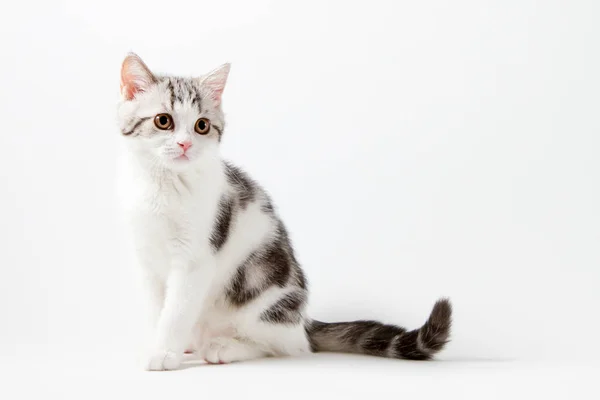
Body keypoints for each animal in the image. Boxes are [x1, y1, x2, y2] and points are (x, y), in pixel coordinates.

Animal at [117, 54, 452, 372]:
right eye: (163, 121)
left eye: (202, 125)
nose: (185, 144)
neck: (163, 184)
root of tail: (304, 321)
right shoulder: (146, 260)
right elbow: (158, 309)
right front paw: (162, 346)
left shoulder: (195, 260)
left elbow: (176, 311)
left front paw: (164, 353)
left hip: (265, 302)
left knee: (284, 345)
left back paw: (224, 347)